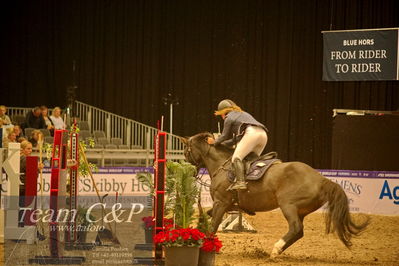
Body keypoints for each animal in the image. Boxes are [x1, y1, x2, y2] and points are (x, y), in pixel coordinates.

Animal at [180, 133, 370, 258]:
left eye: (186, 151)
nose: (190, 170)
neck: (222, 165)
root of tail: (321, 179)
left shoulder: (221, 203)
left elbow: (213, 226)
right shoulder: (222, 205)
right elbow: (207, 217)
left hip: (288, 206)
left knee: (296, 228)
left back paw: (275, 249)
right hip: (301, 210)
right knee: (298, 232)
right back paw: (278, 250)